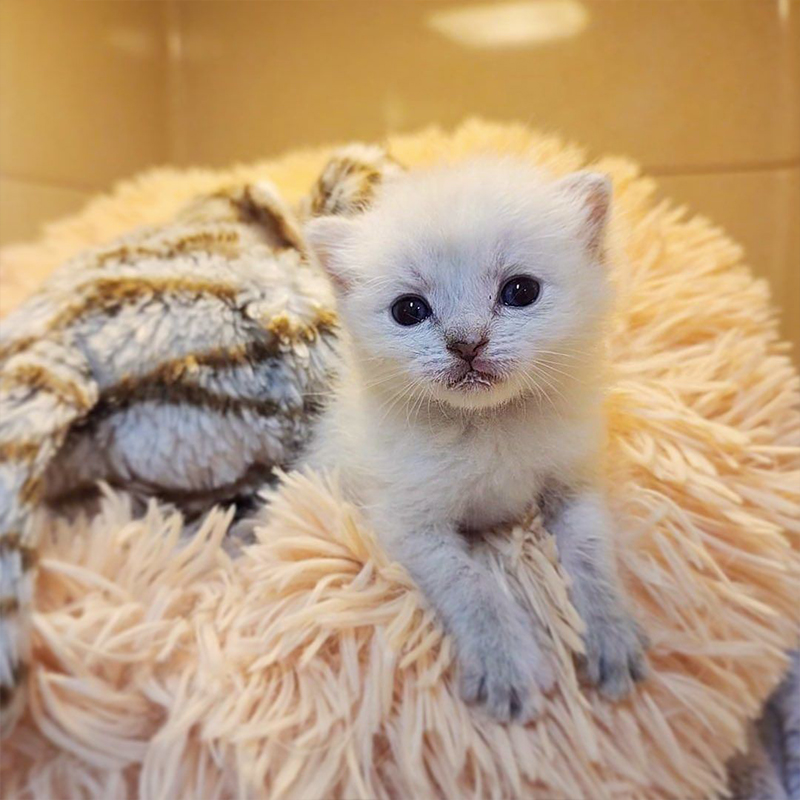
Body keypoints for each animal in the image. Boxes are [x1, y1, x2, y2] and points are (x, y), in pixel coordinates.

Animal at [304, 159, 648, 720]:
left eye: (520, 292)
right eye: (409, 310)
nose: (466, 344)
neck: (488, 426)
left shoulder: (574, 484)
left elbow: (592, 554)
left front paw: (612, 633)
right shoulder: (406, 523)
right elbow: (469, 584)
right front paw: (505, 666)